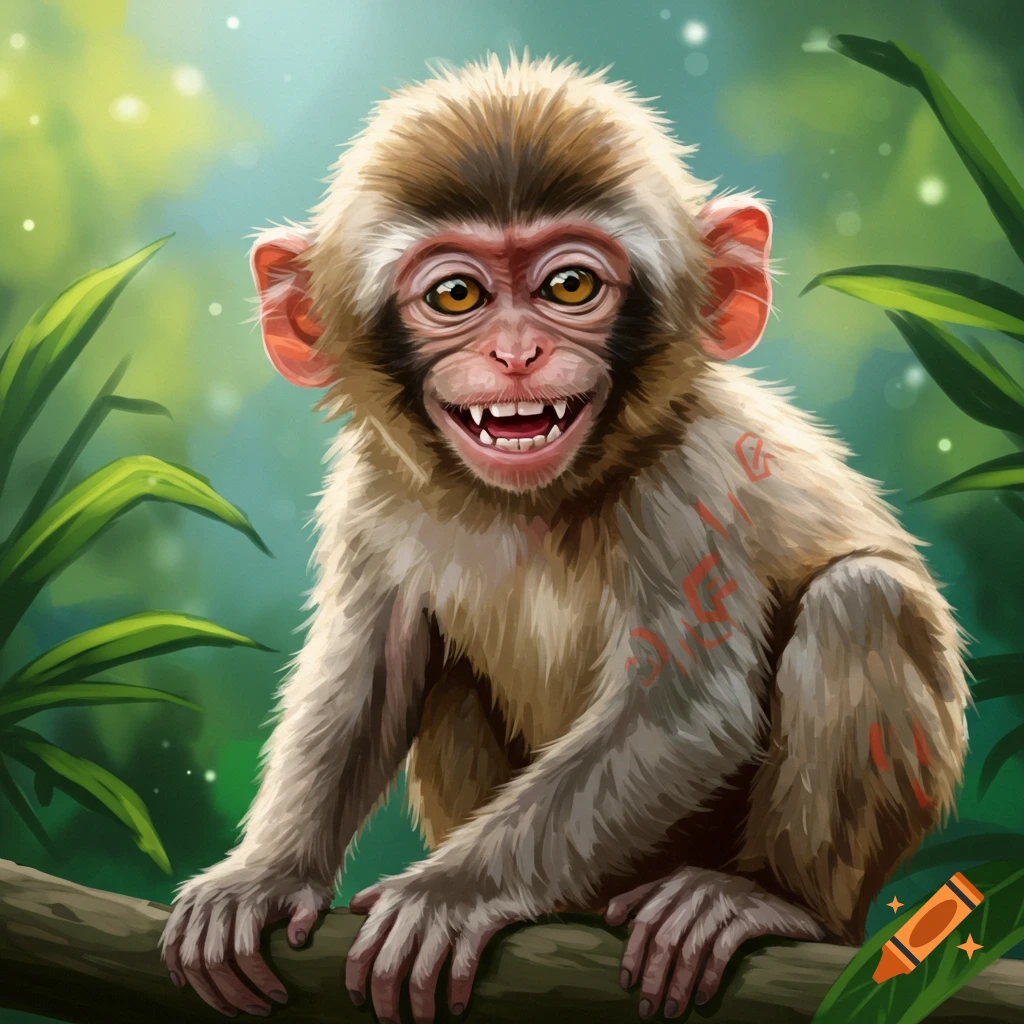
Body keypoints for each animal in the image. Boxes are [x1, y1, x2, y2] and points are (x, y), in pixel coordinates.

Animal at [160, 53, 970, 1024]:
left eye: (569, 286)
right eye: (457, 295)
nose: (517, 355)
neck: (529, 504)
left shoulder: (689, 483)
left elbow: (684, 712)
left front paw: (449, 895)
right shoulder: (371, 489)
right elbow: (368, 673)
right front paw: (266, 875)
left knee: (863, 602)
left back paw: (766, 899)